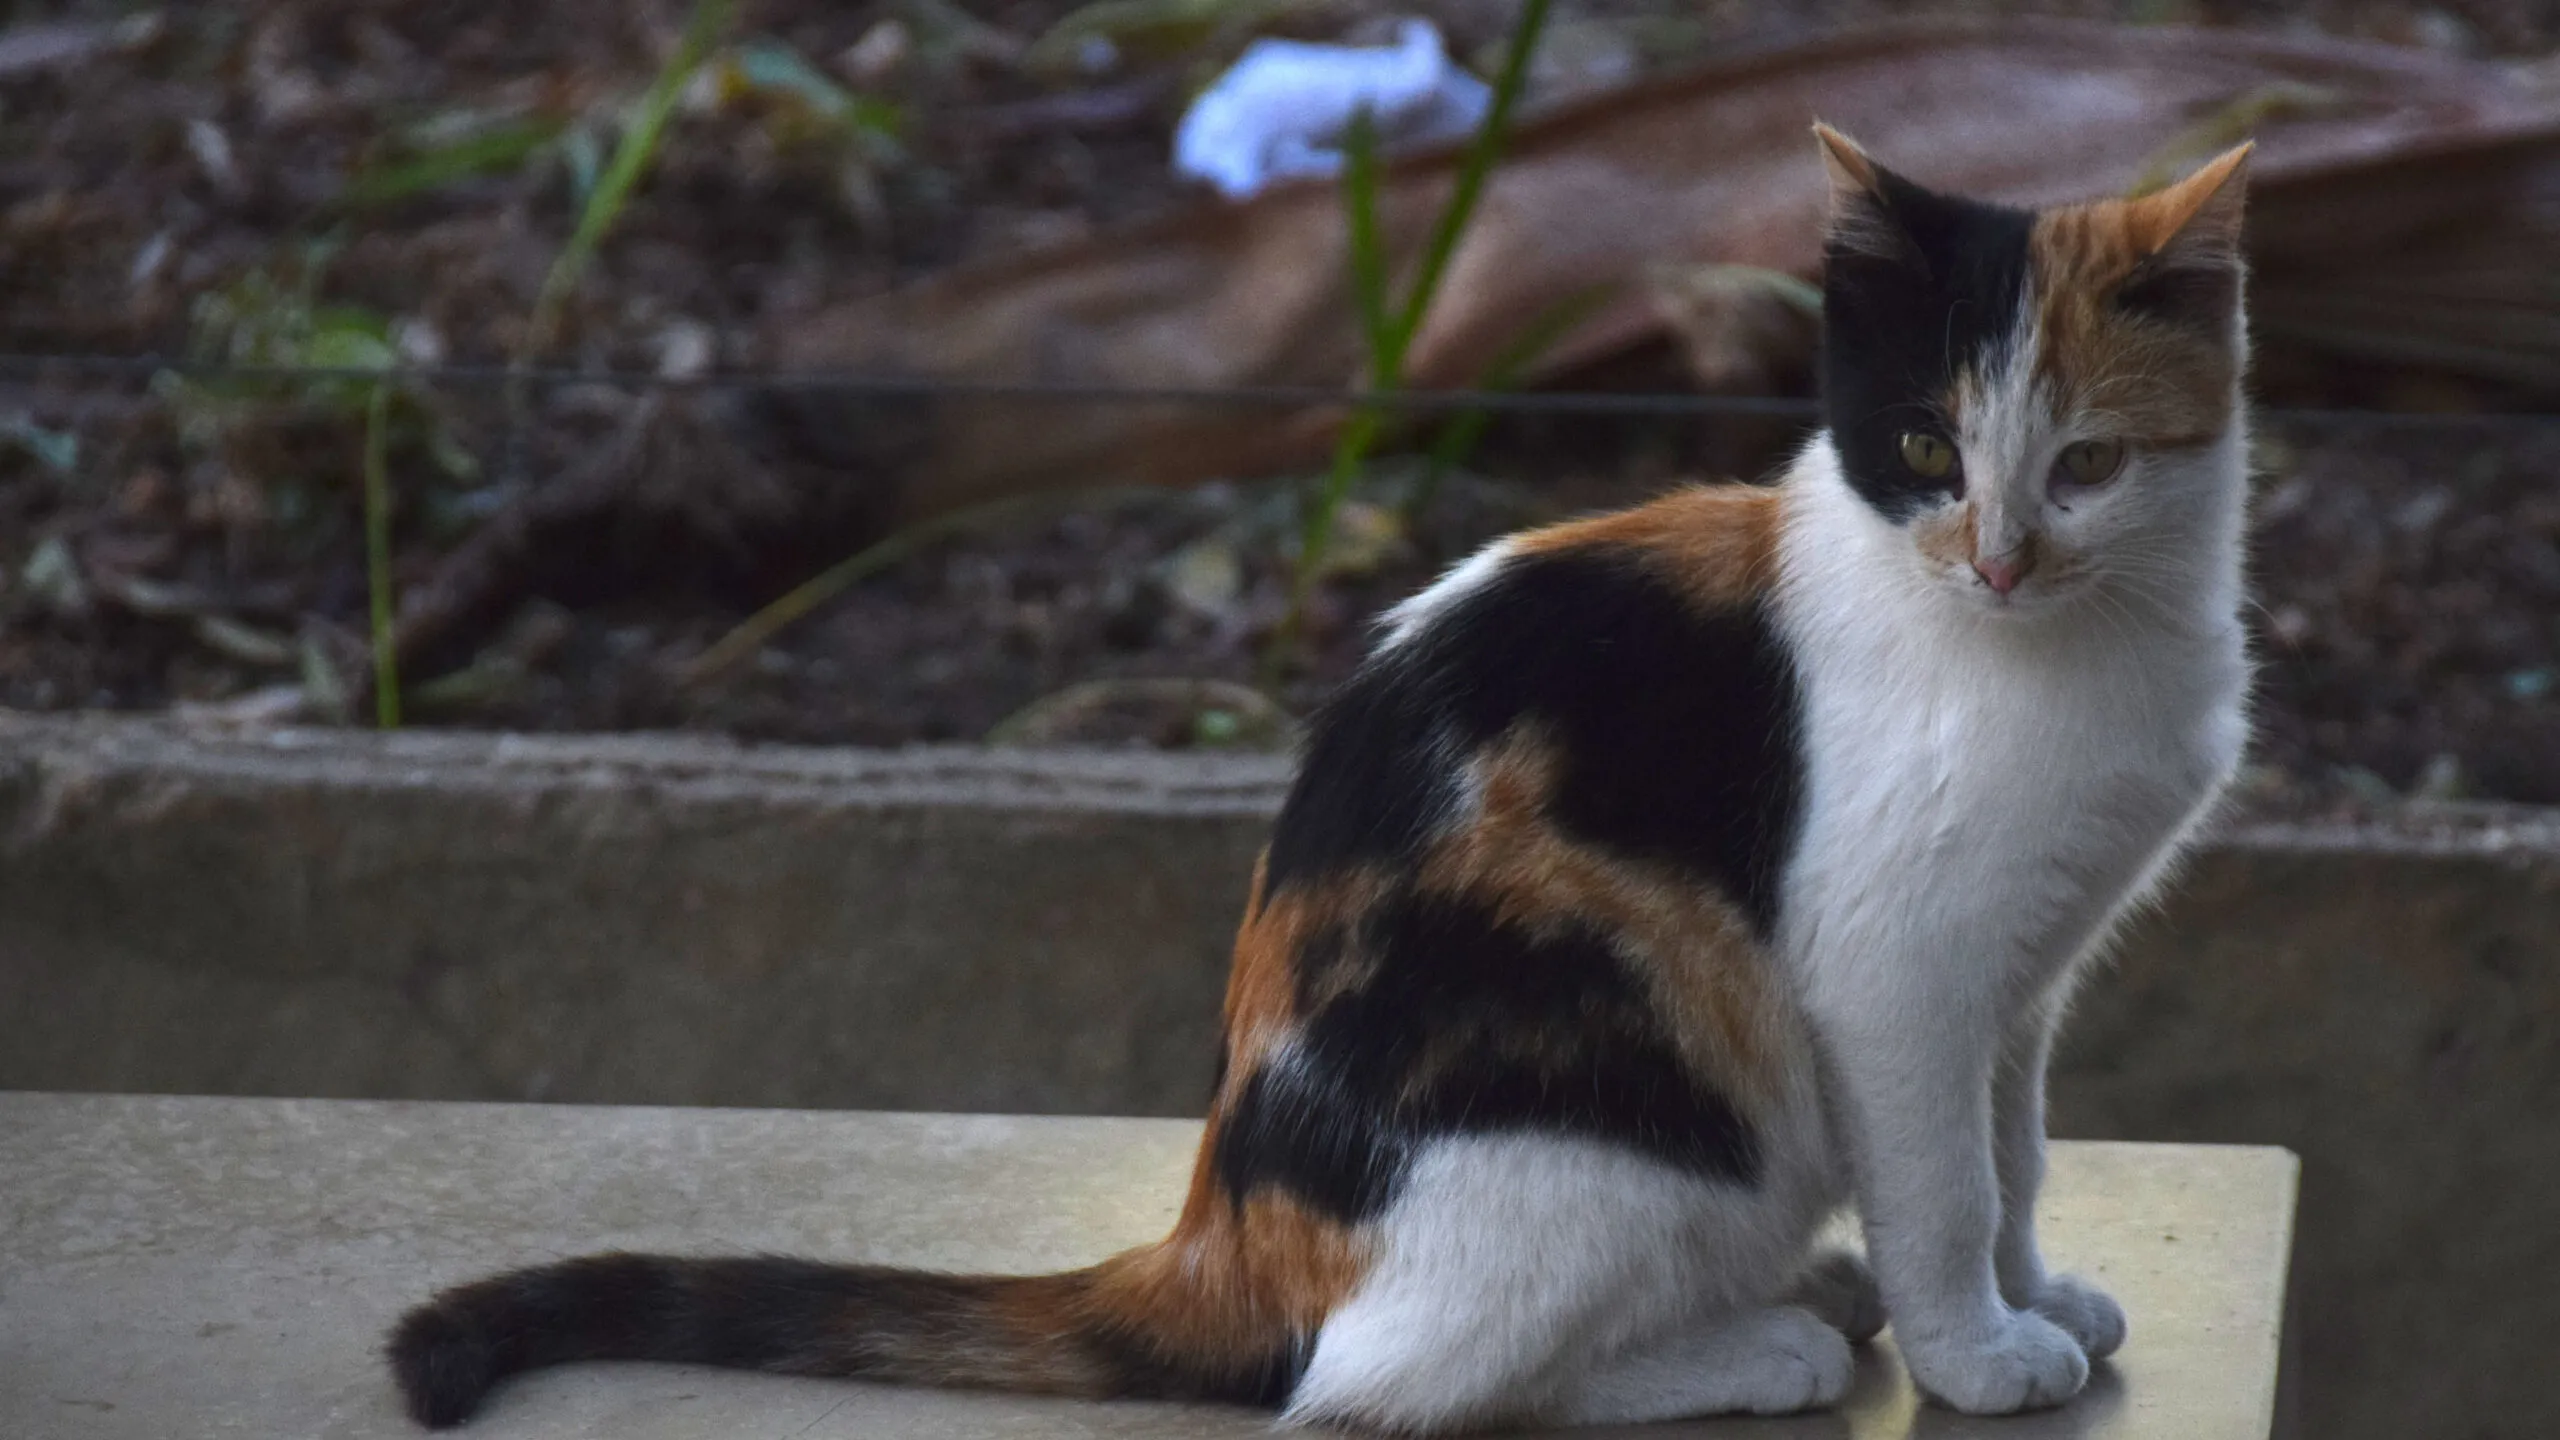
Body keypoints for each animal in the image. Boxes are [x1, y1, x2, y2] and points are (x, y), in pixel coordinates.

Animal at [389, 126, 2252, 1424]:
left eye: (2087, 463)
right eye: (1928, 446)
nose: (2002, 558)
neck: (2060, 651)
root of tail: (1221, 1235)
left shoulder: (2018, 978)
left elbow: (2013, 1159)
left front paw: (2033, 1297)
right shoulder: (1897, 973)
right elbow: (1943, 1184)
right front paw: (1977, 1353)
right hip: (1638, 1127)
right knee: (1382, 1385)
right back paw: (1761, 1342)